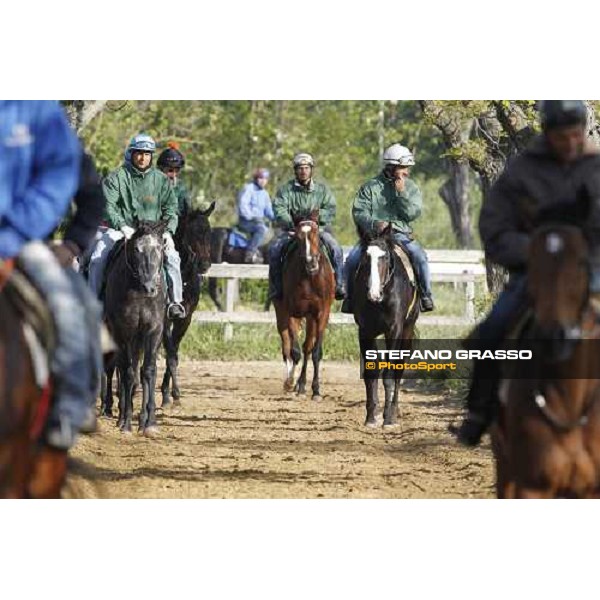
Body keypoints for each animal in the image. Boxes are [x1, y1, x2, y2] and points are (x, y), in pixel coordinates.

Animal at [101, 220, 166, 436]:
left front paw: (150, 423)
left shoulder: (153, 331)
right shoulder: (125, 333)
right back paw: (116, 414)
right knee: (115, 369)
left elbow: (148, 371)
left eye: (159, 247)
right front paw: (127, 423)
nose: (150, 288)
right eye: (137, 249)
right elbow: (128, 373)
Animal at [161, 203, 214, 408]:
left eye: (209, 232)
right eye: (192, 233)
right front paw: (171, 394)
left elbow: (174, 353)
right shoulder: (164, 320)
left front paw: (170, 394)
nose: (205, 264)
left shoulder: (185, 319)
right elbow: (170, 354)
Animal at [274, 211, 336, 398]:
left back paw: (301, 385)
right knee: (286, 345)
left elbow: (315, 352)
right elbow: (295, 351)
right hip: (281, 313)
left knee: (308, 347)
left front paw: (316, 389)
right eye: (298, 236)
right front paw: (291, 382)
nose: (311, 263)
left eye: (315, 233)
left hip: (310, 318)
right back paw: (292, 382)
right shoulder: (291, 313)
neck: (309, 278)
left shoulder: (321, 313)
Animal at [352, 225, 418, 426]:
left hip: (407, 331)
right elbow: (370, 373)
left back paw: (394, 412)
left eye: (386, 257)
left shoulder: (394, 331)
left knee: (399, 370)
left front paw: (387, 418)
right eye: (365, 258)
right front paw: (371, 417)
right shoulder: (365, 331)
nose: (374, 294)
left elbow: (389, 374)